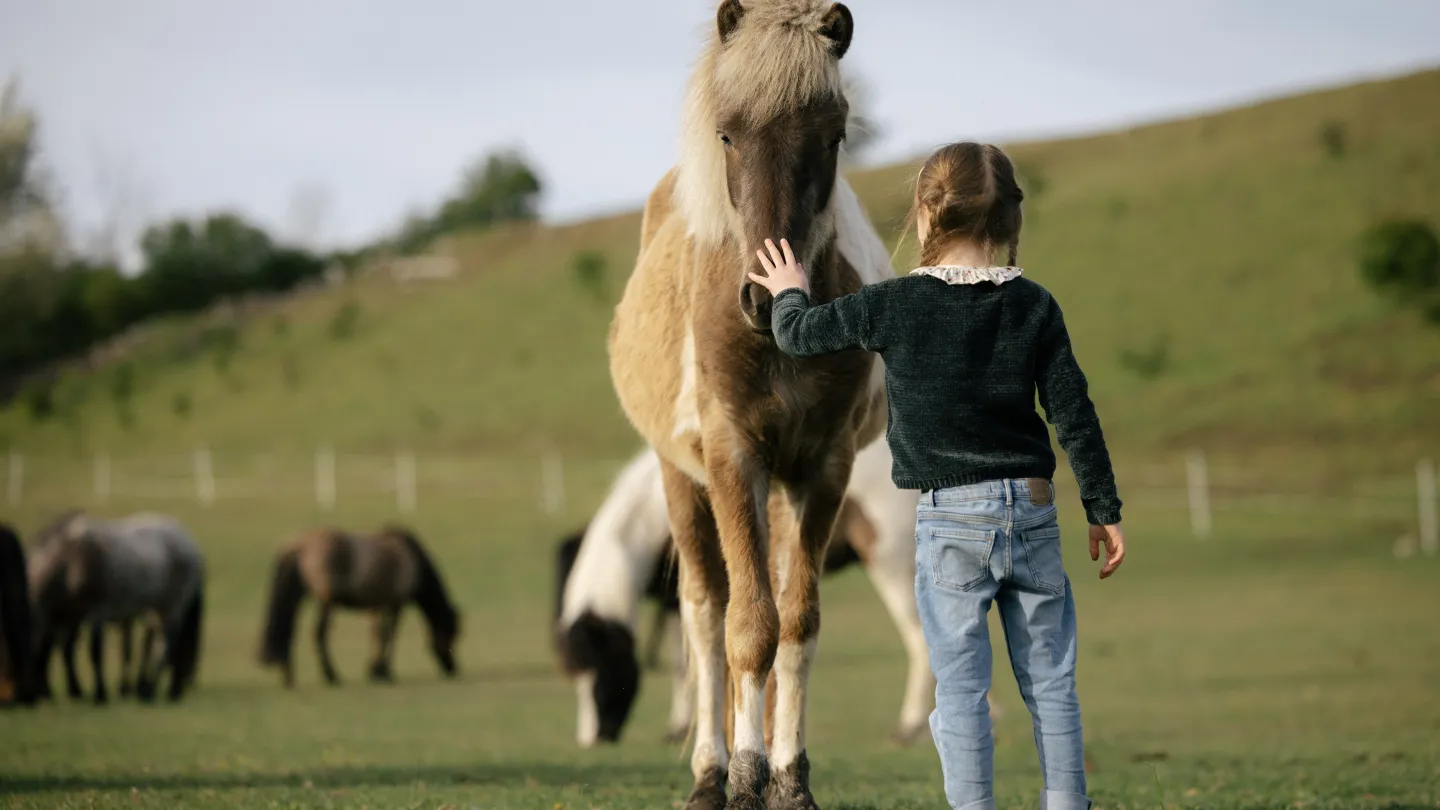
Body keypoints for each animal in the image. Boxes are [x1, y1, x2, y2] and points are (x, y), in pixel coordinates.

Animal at [28, 510, 207, 700]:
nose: (178, 689)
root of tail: (190, 544)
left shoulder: (96, 612)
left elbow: (96, 651)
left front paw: (100, 692)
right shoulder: (68, 615)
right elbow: (67, 648)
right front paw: (77, 690)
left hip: (170, 608)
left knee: (164, 646)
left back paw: (150, 689)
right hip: (158, 610)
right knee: (156, 644)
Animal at [256, 524, 460, 680]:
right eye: (451, 635)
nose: (453, 669)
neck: (411, 559)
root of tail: (301, 546)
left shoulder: (377, 605)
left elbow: (376, 634)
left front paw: (374, 670)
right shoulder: (396, 604)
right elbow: (390, 635)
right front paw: (385, 671)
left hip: (301, 596)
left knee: (288, 626)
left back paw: (288, 676)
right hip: (326, 602)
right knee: (319, 633)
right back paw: (331, 675)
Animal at [550, 438, 944, 749]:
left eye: (604, 671)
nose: (593, 739)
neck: (654, 513)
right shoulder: (680, 602)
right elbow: (691, 661)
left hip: (893, 565)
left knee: (920, 644)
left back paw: (909, 728)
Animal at [604, 3, 892, 801]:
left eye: (834, 134)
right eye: (727, 133)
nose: (766, 298)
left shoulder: (821, 469)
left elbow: (793, 624)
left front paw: (787, 779)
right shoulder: (734, 459)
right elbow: (743, 627)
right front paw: (739, 778)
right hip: (684, 483)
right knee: (707, 615)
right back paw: (710, 769)